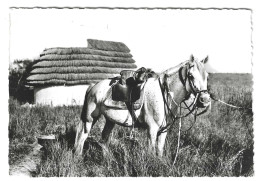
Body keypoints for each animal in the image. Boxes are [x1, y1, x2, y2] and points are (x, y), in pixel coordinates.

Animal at [73, 55, 211, 156]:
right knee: (82, 136)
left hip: (110, 120)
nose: (205, 100)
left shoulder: (163, 130)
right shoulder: (152, 129)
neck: (164, 94)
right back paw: (78, 157)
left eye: (207, 76)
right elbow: (151, 152)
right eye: (191, 76)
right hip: (90, 118)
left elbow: (159, 151)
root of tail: (93, 86)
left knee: (104, 138)